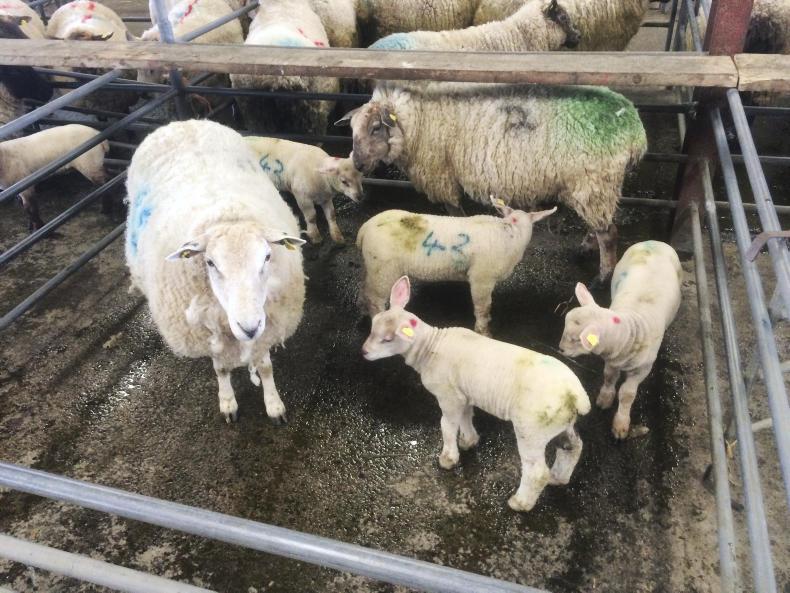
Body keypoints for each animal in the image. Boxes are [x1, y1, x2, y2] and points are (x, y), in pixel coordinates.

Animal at [125, 119, 306, 424]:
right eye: (210, 263)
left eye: (267, 257)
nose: (249, 327)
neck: (226, 214)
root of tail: (182, 122)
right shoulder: (208, 332)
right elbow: (221, 370)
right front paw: (228, 402)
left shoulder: (267, 325)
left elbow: (265, 367)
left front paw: (274, 405)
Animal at [338, 81, 647, 284]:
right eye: (352, 130)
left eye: (376, 128)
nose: (358, 165)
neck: (418, 122)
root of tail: (635, 129)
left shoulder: (443, 175)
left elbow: (454, 212)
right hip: (595, 186)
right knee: (602, 224)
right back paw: (586, 248)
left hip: (593, 181)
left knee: (609, 234)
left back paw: (603, 276)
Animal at [356, 198, 555, 335]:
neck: (511, 233)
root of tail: (365, 228)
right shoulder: (481, 278)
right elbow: (483, 307)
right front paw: (484, 331)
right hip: (383, 270)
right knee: (375, 300)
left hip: (374, 267)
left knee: (366, 290)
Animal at [362, 275, 590, 511]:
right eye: (372, 327)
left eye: (388, 339)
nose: (364, 352)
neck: (430, 347)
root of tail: (576, 395)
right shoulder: (463, 393)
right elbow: (466, 417)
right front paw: (469, 441)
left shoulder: (448, 395)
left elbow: (447, 426)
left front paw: (448, 458)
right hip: (561, 423)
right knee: (573, 448)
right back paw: (559, 477)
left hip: (532, 429)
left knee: (536, 472)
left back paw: (520, 503)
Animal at [558, 241, 682, 439]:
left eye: (576, 339)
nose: (560, 349)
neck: (632, 327)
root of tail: (655, 242)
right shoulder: (612, 360)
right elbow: (609, 377)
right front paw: (605, 398)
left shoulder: (642, 369)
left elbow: (627, 394)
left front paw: (621, 424)